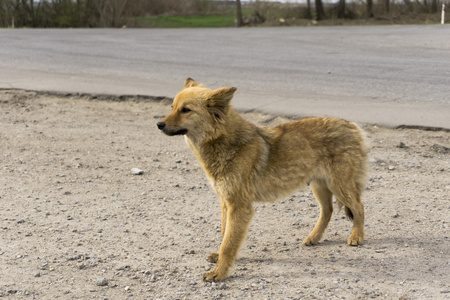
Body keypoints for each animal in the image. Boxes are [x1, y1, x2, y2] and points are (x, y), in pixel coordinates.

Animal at [156, 77, 368, 282]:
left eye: (186, 110)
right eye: (172, 107)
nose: (159, 125)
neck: (225, 142)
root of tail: (353, 126)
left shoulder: (239, 206)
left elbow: (229, 243)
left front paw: (220, 273)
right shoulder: (226, 202)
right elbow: (225, 233)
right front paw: (219, 258)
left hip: (339, 185)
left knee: (359, 207)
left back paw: (357, 236)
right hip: (320, 186)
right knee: (328, 211)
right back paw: (314, 237)